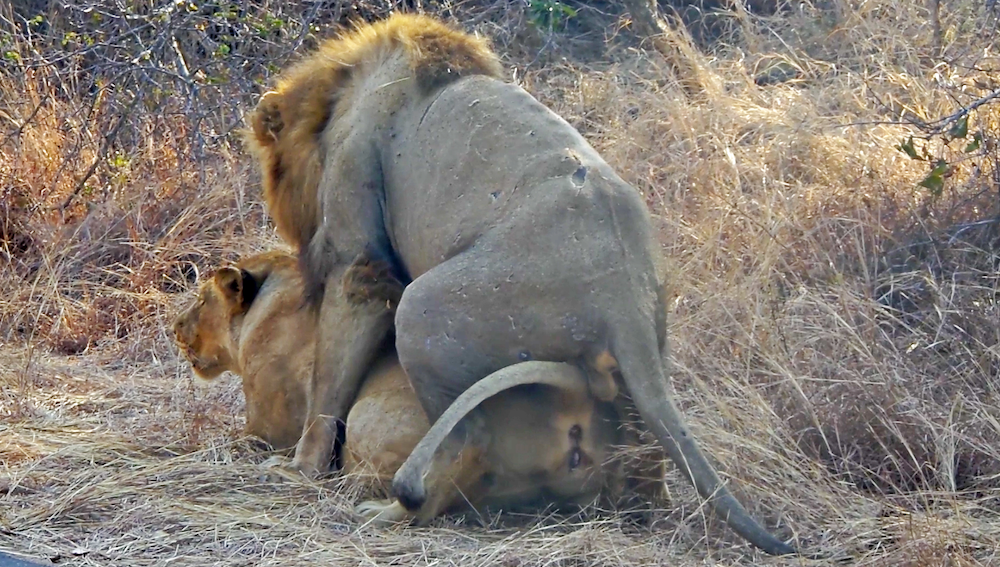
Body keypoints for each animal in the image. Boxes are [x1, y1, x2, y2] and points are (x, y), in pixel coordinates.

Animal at [244, 13, 795, 555]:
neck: (343, 94)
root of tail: (623, 297)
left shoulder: (357, 257)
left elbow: (330, 382)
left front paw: (299, 469)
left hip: (423, 312)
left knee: (465, 441)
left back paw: (391, 511)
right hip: (645, 350)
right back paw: (636, 506)